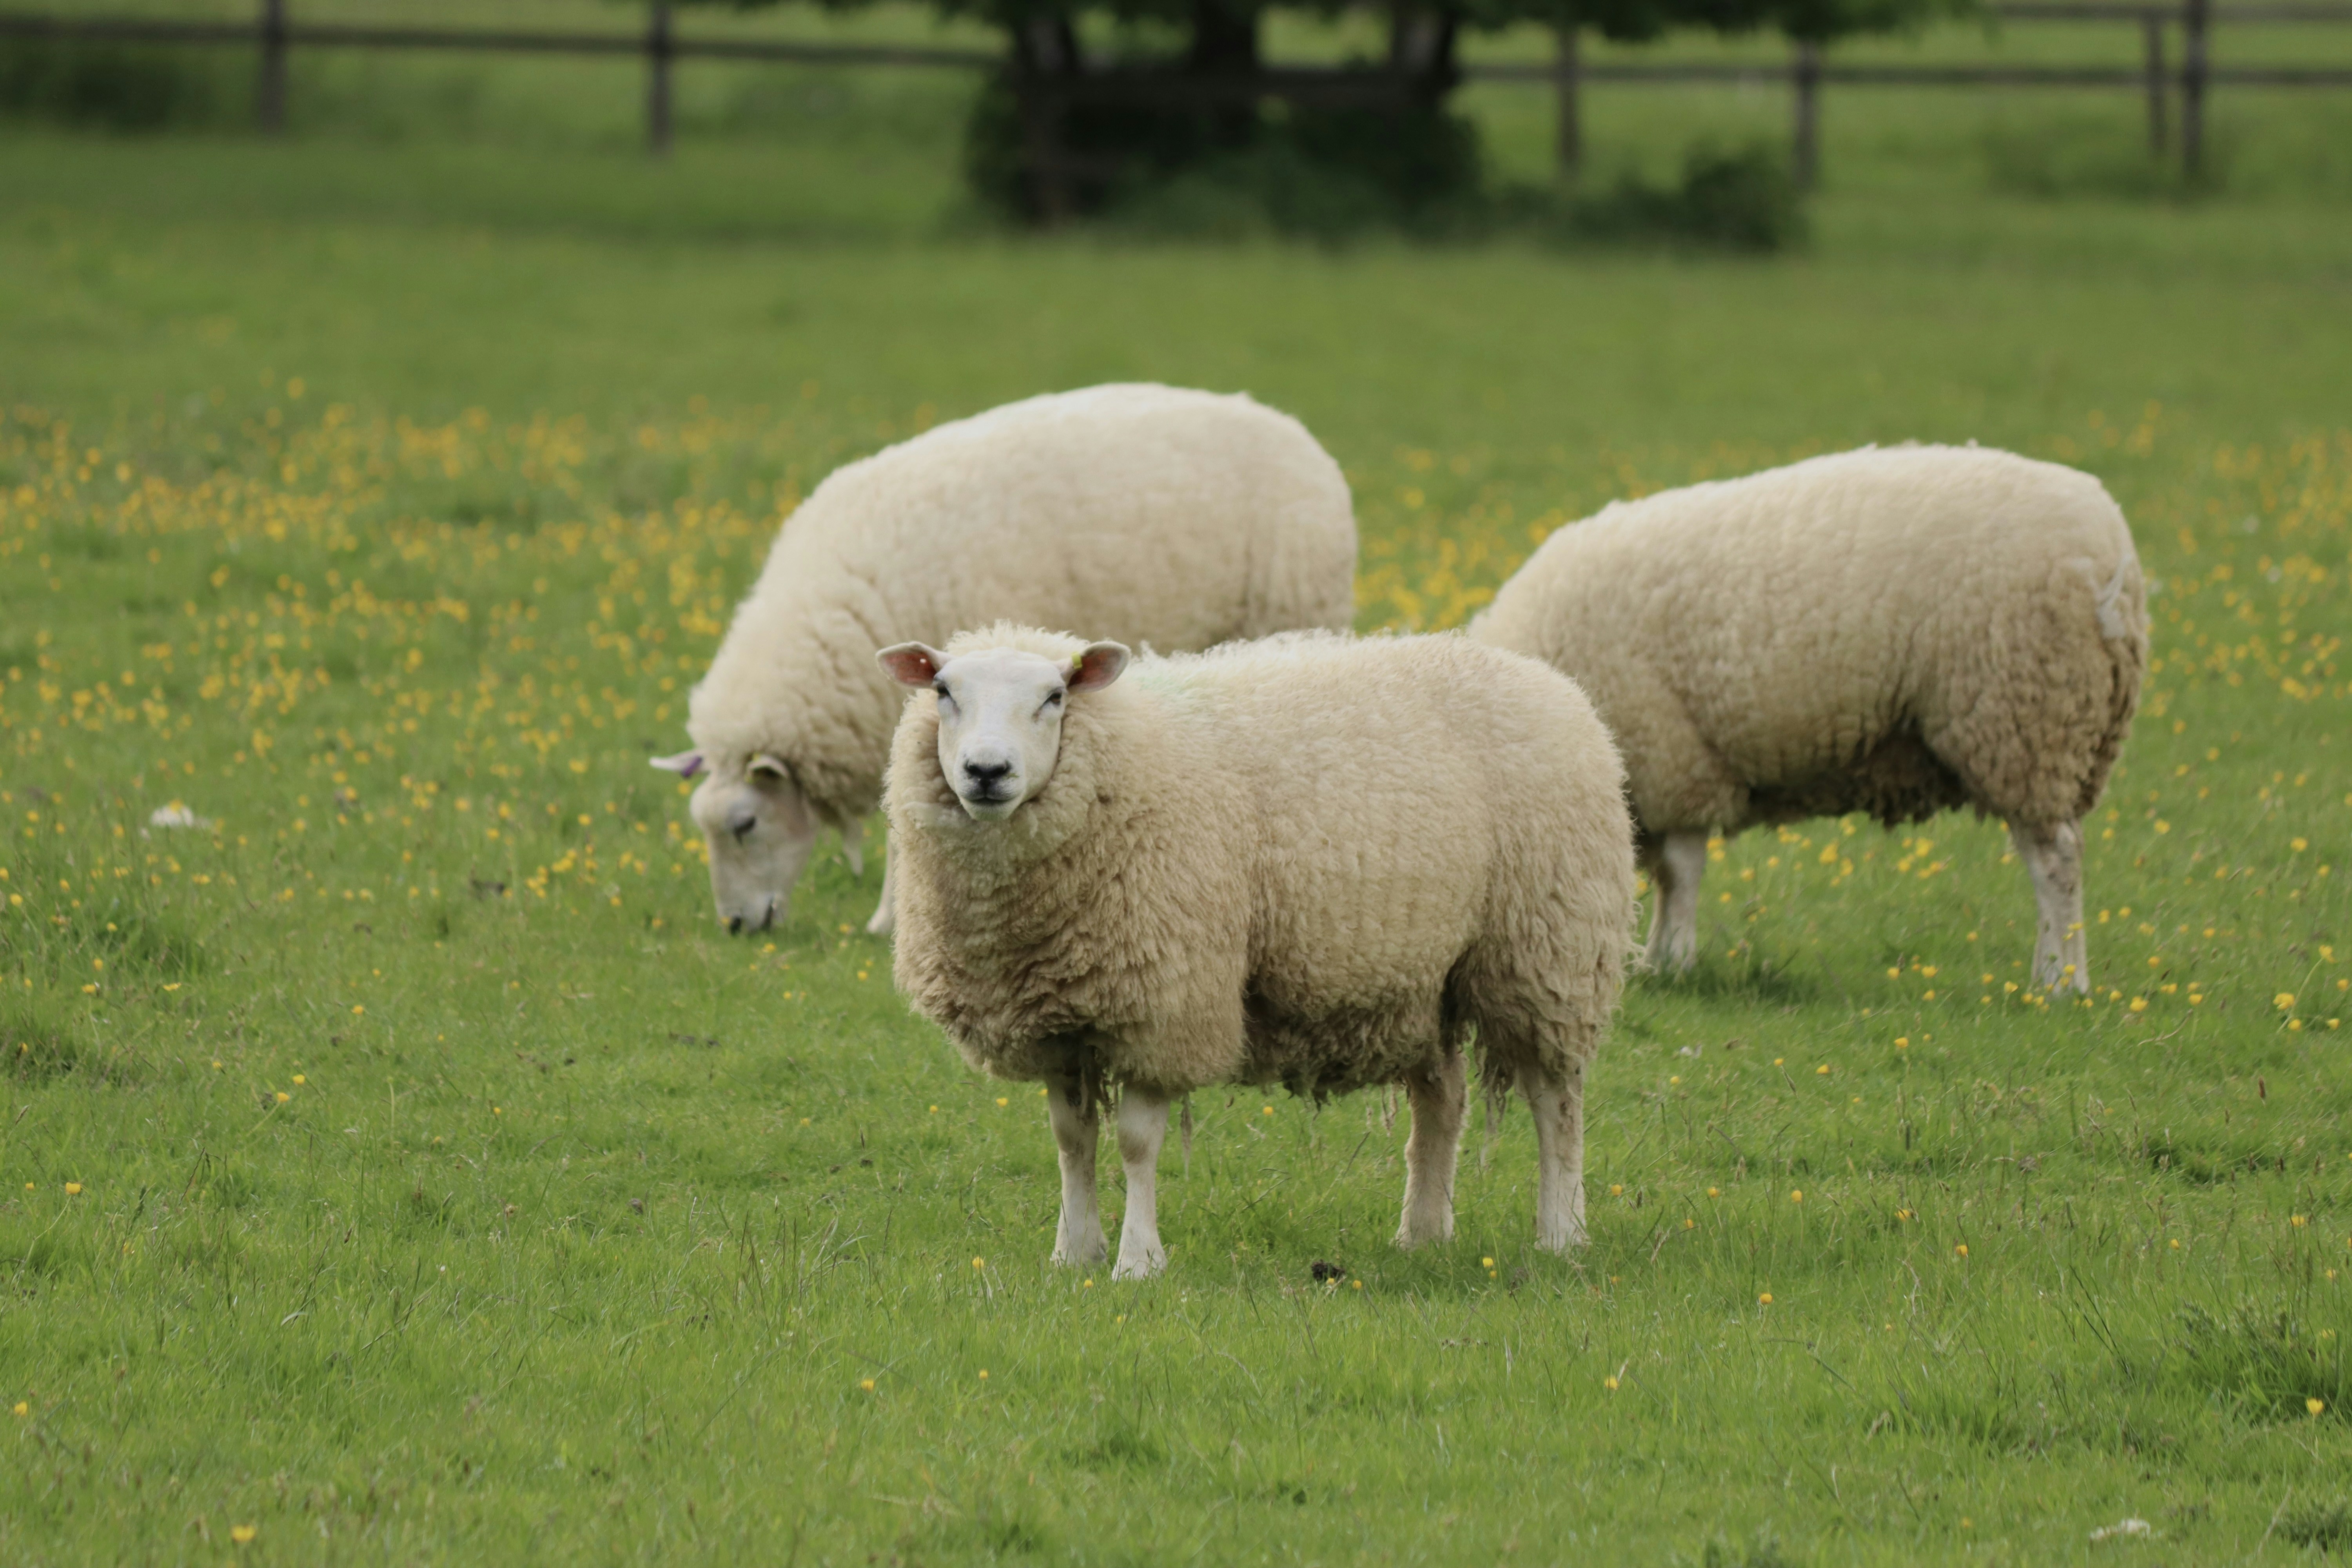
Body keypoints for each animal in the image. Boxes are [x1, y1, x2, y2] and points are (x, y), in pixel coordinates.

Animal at [878, 624, 1635, 1278]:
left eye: (1055, 697)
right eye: (944, 691)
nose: (987, 771)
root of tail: (1545, 678)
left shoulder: (1167, 1004)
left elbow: (1136, 1144)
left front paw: (1137, 1263)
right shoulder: (1059, 1019)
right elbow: (1072, 1141)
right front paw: (1074, 1255)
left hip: (1546, 950)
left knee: (1556, 1101)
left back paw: (1562, 1233)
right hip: (1425, 973)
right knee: (1442, 1098)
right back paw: (1422, 1233)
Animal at [1469, 444, 2145, 993]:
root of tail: (2115, 553)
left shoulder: (1672, 757)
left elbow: (1682, 871)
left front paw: (1674, 961)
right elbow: (1664, 873)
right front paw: (1656, 957)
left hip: (2025, 718)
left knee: (2055, 861)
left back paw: (2059, 980)